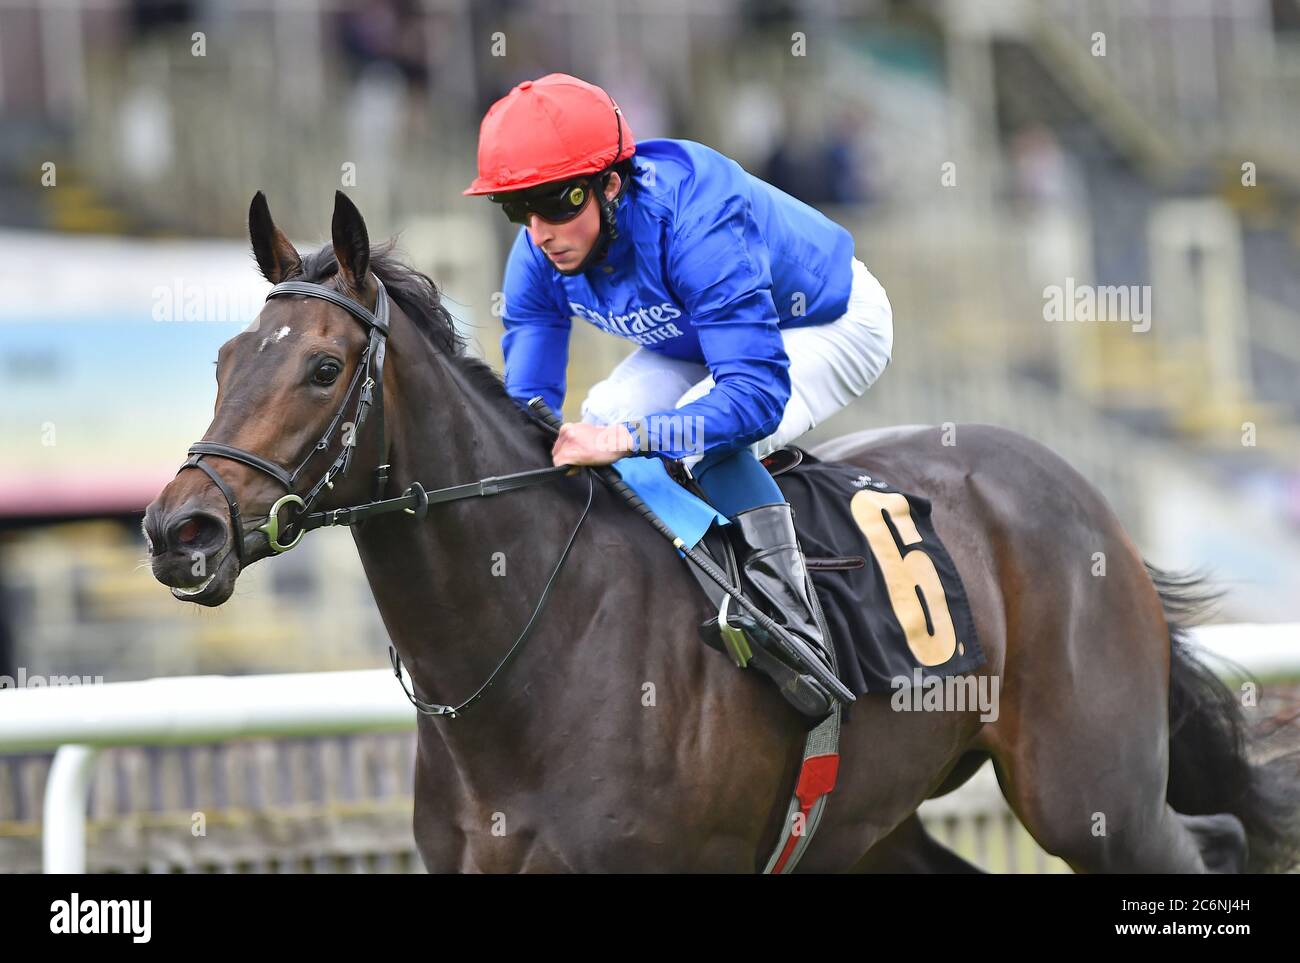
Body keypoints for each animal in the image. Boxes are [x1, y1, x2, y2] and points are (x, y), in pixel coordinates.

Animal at [144, 189, 1300, 873]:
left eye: (321, 367)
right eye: (225, 359)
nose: (177, 527)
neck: (528, 656)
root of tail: (1078, 491)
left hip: (1092, 795)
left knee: (1209, 837)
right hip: (874, 824)